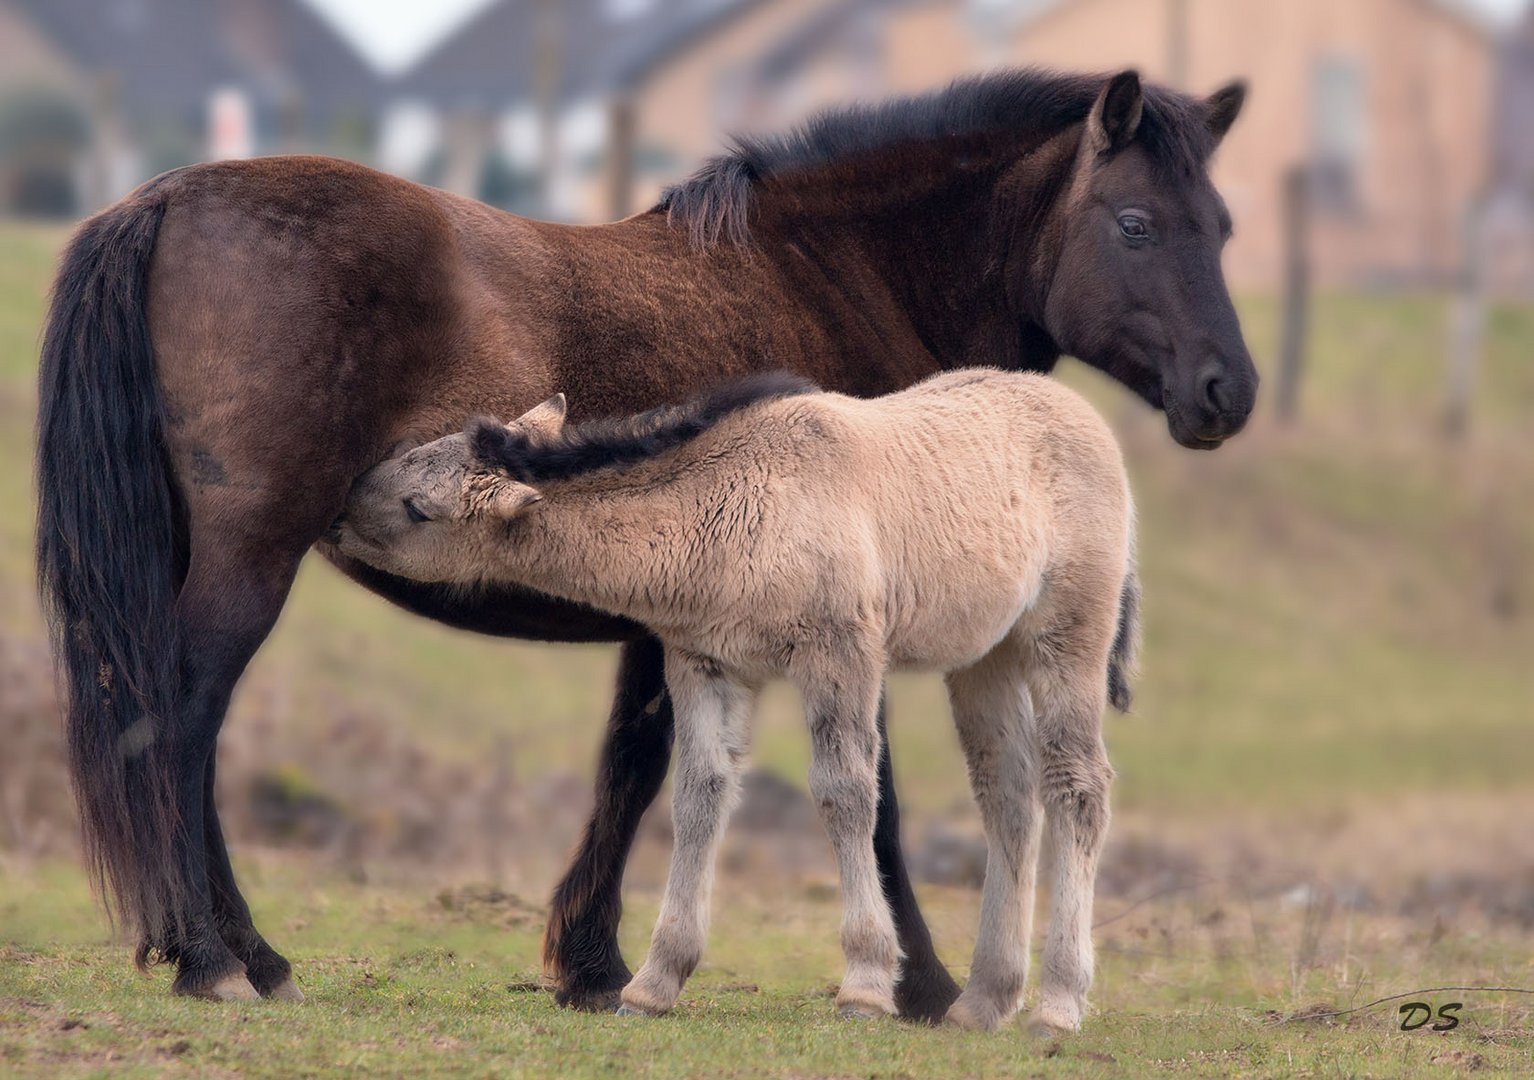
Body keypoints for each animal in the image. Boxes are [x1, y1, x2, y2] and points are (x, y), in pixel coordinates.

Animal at [329, 369, 1135, 1030]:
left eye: (418, 508)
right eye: (412, 454)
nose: (334, 518)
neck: (740, 498)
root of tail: (1083, 414)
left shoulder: (840, 657)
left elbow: (846, 794)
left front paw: (865, 984)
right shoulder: (704, 663)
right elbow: (699, 797)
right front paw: (655, 983)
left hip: (1066, 639)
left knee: (1079, 787)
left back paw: (1058, 1006)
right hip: (983, 659)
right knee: (1008, 795)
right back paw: (986, 1000)